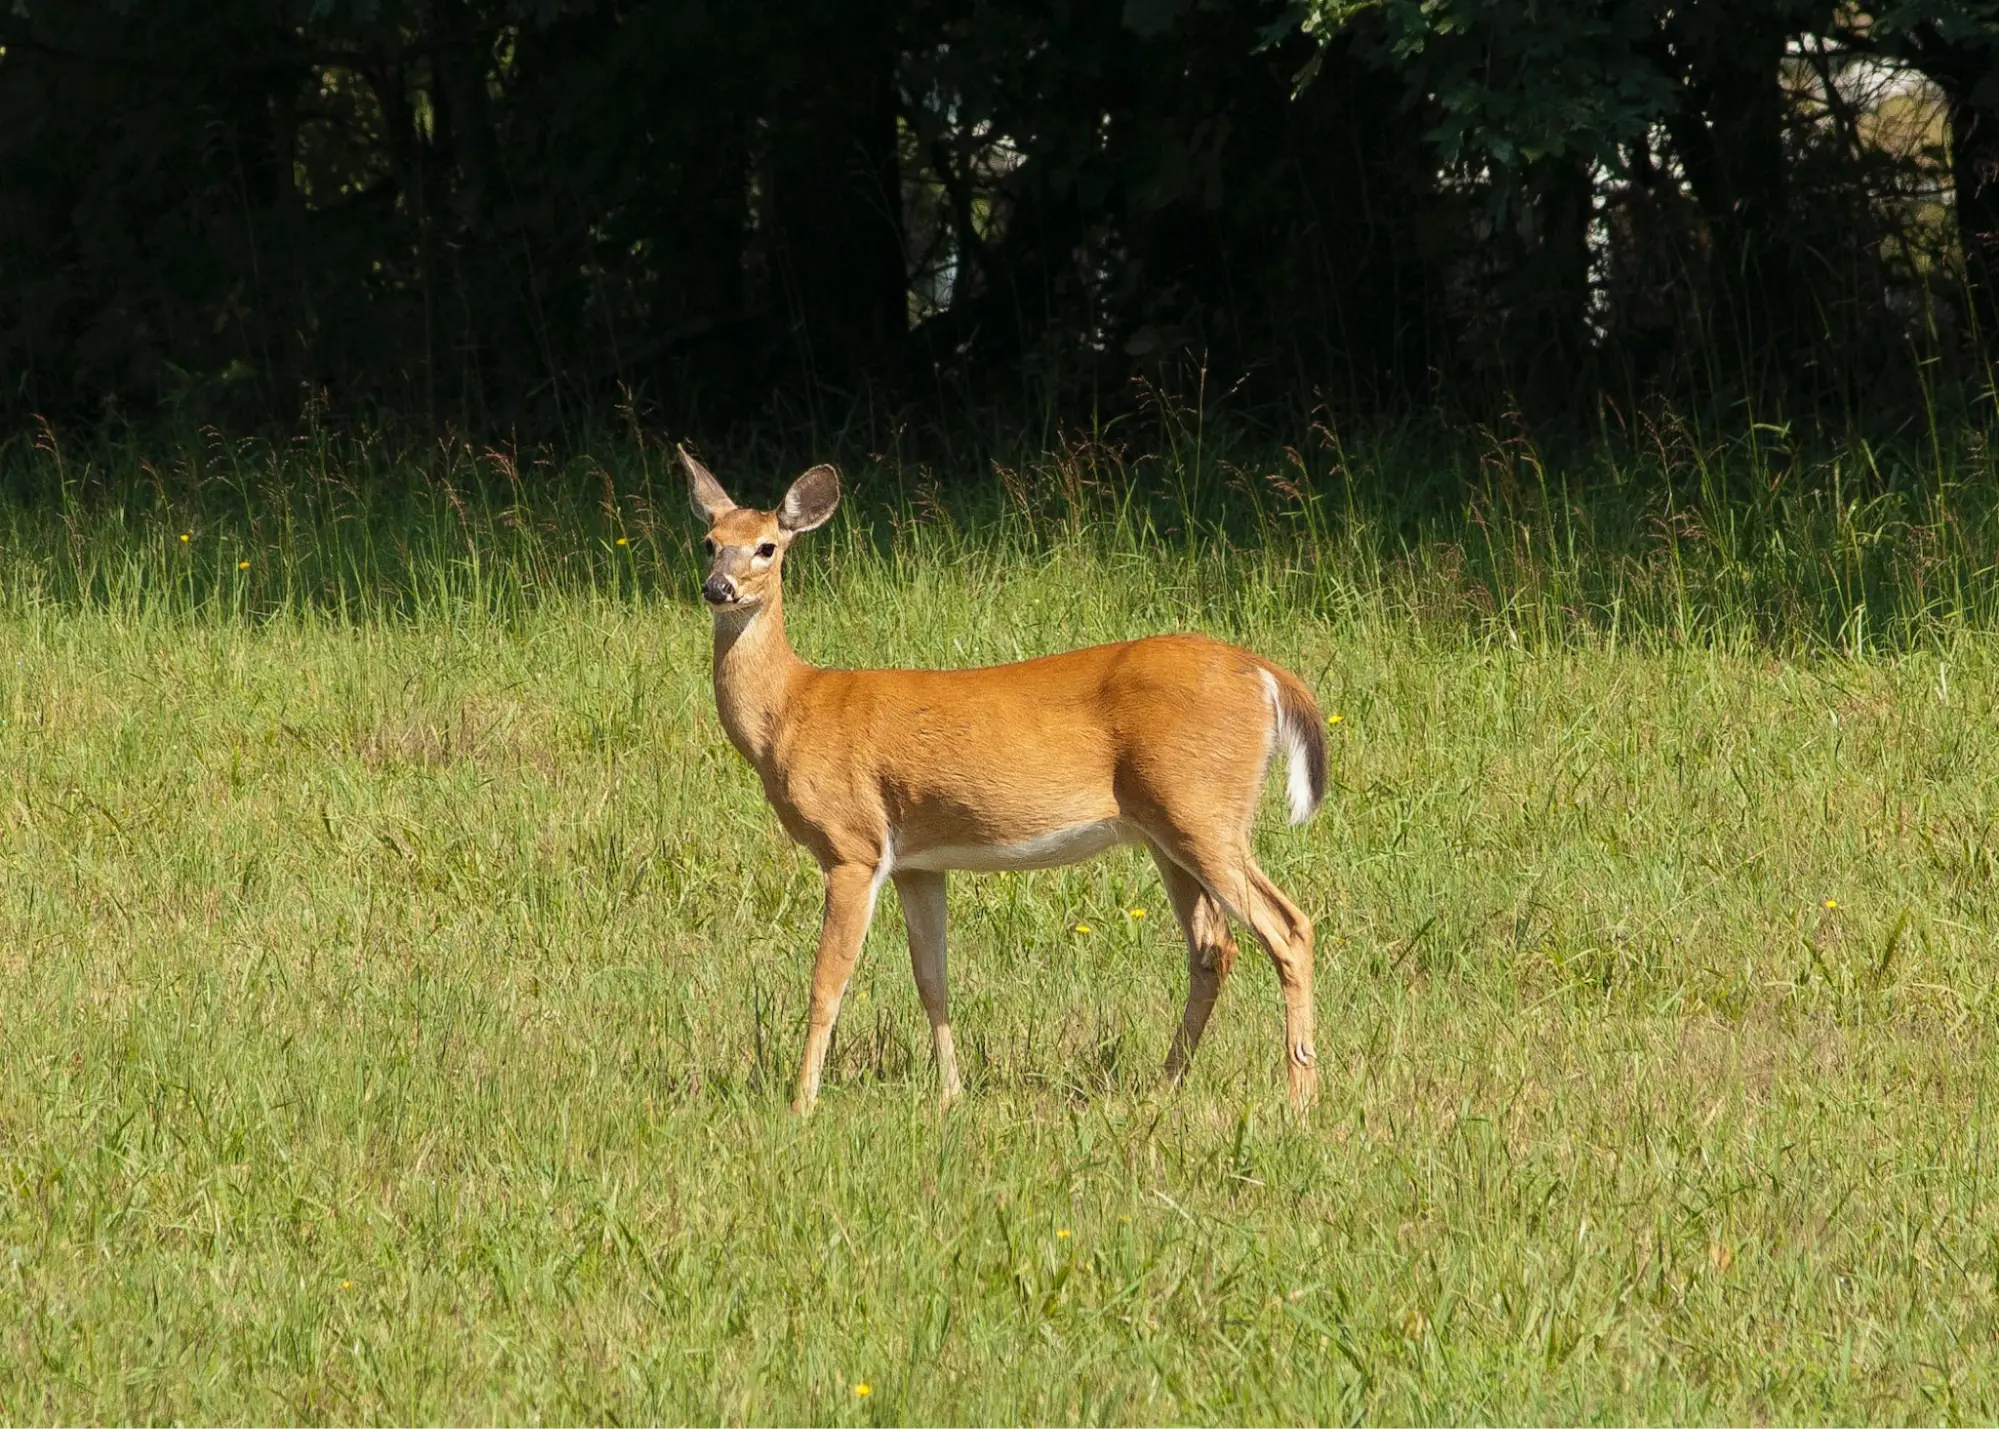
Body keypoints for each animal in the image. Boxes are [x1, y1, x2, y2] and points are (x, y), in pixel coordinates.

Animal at [687, 447, 1327, 1119]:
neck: (792, 709)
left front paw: (800, 1104)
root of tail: (1266, 674)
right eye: (709, 542)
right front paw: (951, 1094)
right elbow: (932, 979)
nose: (718, 588)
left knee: (1288, 928)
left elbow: (826, 983)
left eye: (766, 547)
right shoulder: (918, 862)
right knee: (1213, 947)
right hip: (1167, 830)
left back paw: (1300, 1098)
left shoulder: (852, 845)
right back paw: (1164, 1084)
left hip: (1202, 810)